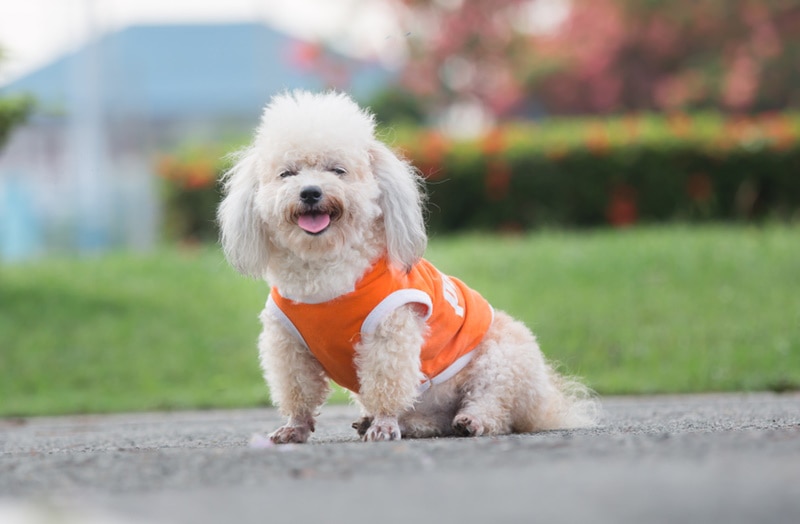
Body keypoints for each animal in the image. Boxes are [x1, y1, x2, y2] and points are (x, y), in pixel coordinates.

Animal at [216, 90, 596, 442]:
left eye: (337, 170)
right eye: (287, 174)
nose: (310, 192)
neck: (324, 270)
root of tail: (545, 400)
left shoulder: (390, 331)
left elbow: (387, 383)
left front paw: (383, 425)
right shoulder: (288, 344)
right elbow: (298, 390)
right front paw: (295, 427)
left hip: (501, 360)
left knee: (494, 405)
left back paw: (470, 421)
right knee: (434, 421)